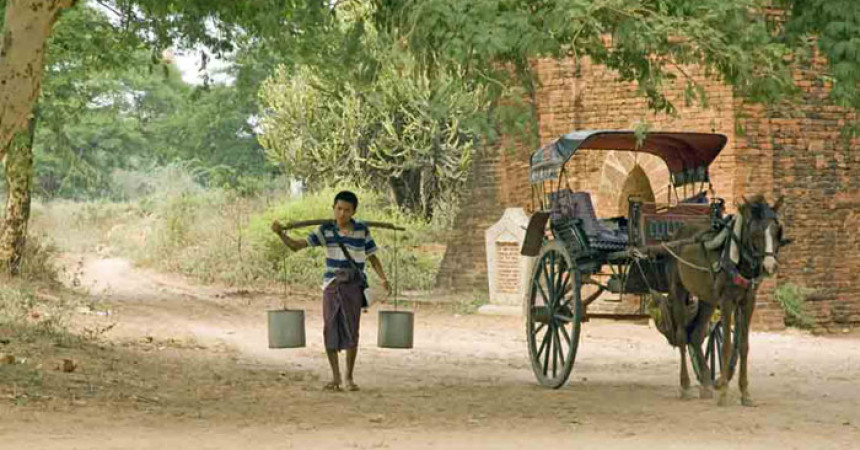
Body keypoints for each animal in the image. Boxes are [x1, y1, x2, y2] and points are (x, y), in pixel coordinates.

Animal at [660, 195, 788, 406]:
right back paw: (685, 385)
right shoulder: (727, 301)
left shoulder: (749, 301)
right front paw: (724, 393)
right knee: (681, 336)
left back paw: (706, 382)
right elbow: (726, 345)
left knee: (695, 335)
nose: (770, 267)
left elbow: (743, 346)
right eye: (755, 233)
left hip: (708, 299)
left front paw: (745, 392)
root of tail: (675, 235)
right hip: (677, 288)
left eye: (777, 231)